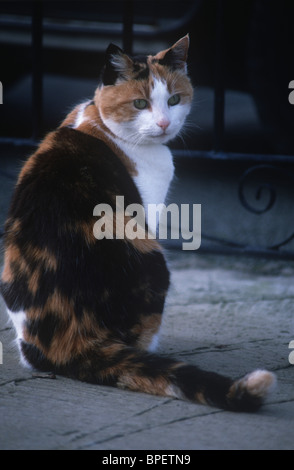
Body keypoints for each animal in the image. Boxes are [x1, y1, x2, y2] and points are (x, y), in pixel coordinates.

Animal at [1, 36, 274, 410]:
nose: (163, 124)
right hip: (150, 254)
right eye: (140, 103)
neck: (100, 123)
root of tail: (68, 342)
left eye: (174, 100)